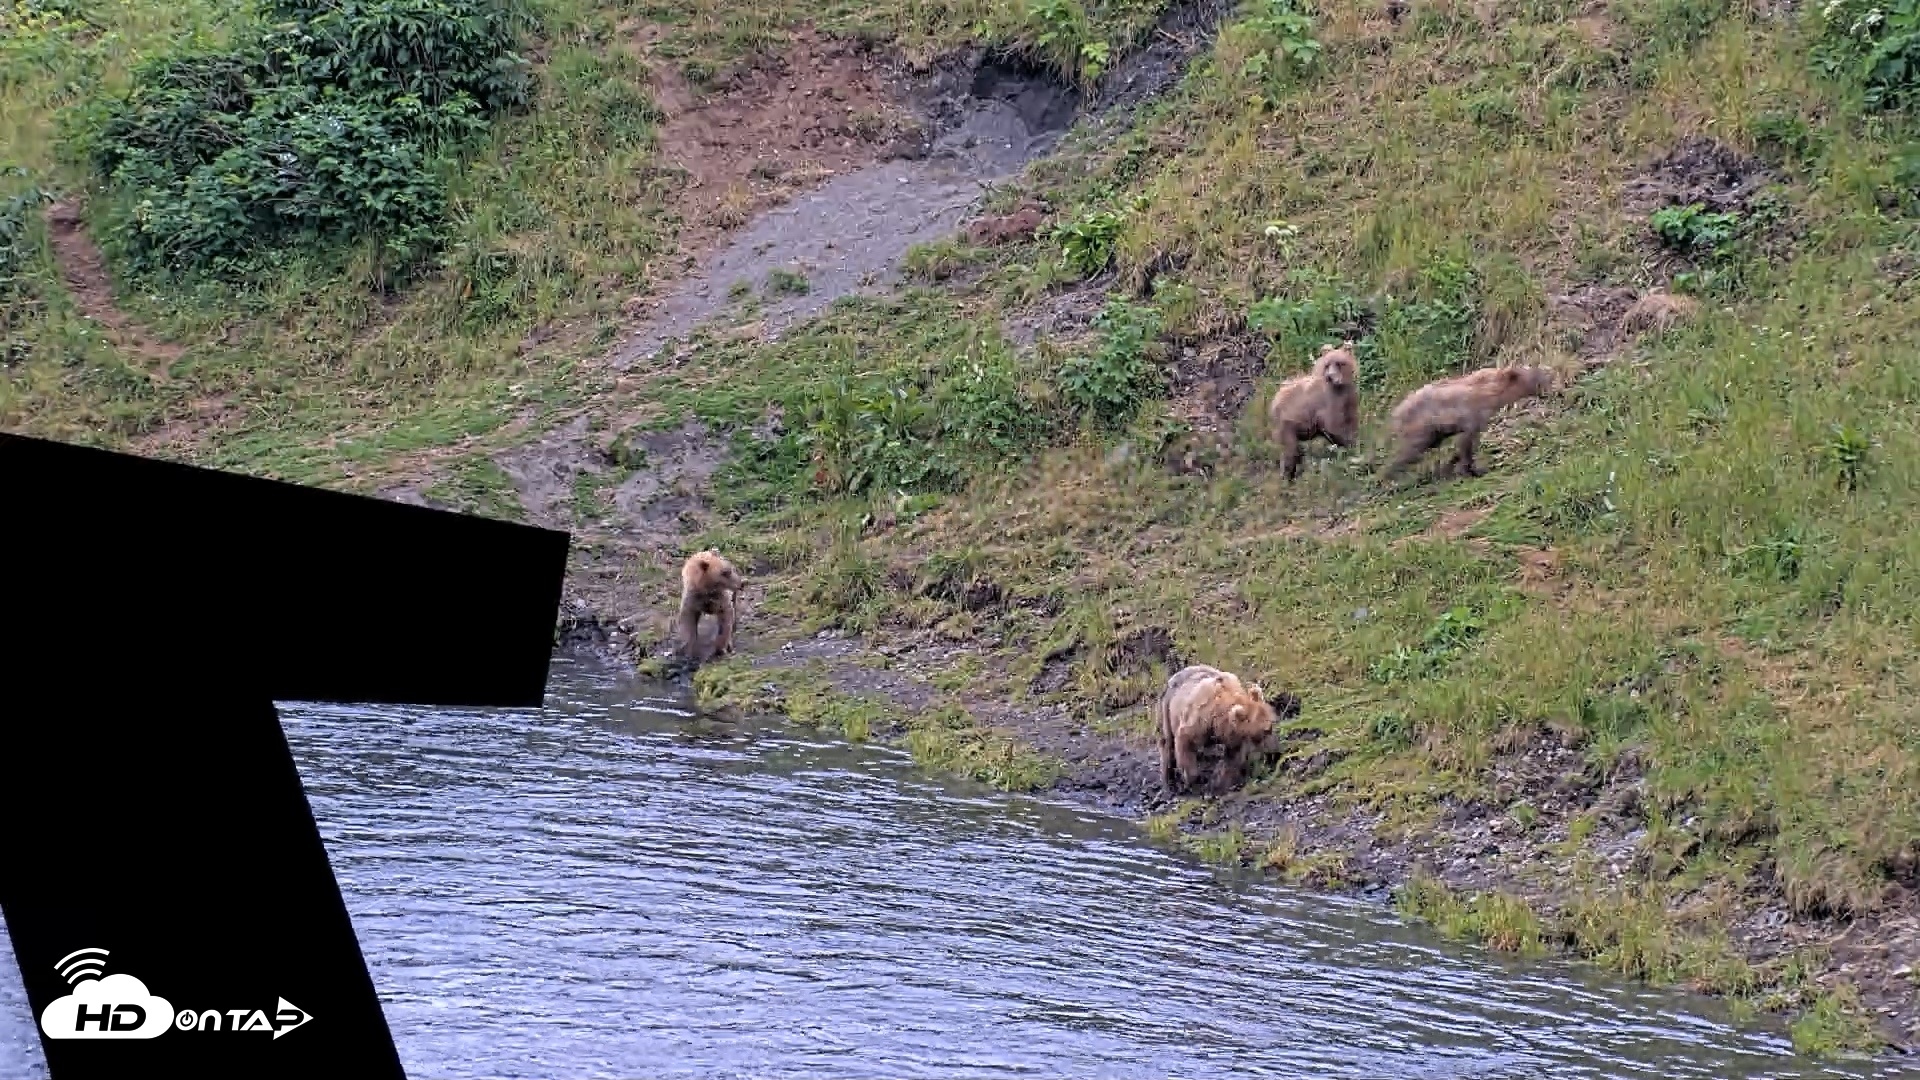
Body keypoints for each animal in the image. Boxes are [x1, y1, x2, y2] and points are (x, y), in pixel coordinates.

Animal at [1154, 663, 1282, 797]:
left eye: (1271, 726)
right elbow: (1185, 742)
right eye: (1265, 731)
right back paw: (1168, 781)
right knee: (1166, 742)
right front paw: (1194, 782)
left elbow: (1232, 758)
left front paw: (1217, 786)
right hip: (1167, 708)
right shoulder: (1199, 720)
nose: (1276, 753)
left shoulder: (1234, 736)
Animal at [1267, 341, 1361, 481]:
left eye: (1340, 363)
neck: (1341, 388)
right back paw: (1288, 476)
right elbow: (1334, 427)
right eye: (1327, 365)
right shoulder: (1329, 404)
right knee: (1290, 450)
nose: (1330, 377)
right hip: (1287, 424)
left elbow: (1351, 424)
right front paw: (1347, 447)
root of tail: (1274, 402)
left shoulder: (1349, 401)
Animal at [1383, 364, 1555, 482]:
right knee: (1410, 452)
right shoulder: (1470, 414)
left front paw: (1459, 465)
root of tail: (1396, 412)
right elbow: (1466, 442)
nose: (1551, 375)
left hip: (1431, 432)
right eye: (1536, 374)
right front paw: (1470, 470)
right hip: (1422, 427)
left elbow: (1468, 443)